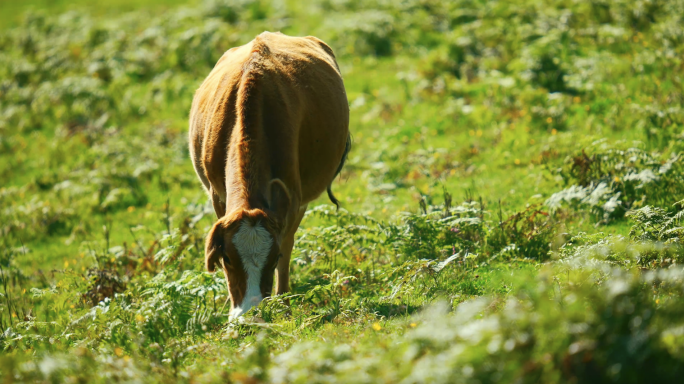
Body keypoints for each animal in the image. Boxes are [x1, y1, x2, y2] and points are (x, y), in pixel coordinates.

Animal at [187, 32, 350, 318]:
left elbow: (286, 248)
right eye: (227, 257)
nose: (248, 314)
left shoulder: (292, 201)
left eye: (272, 259)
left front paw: (281, 305)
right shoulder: (218, 196)